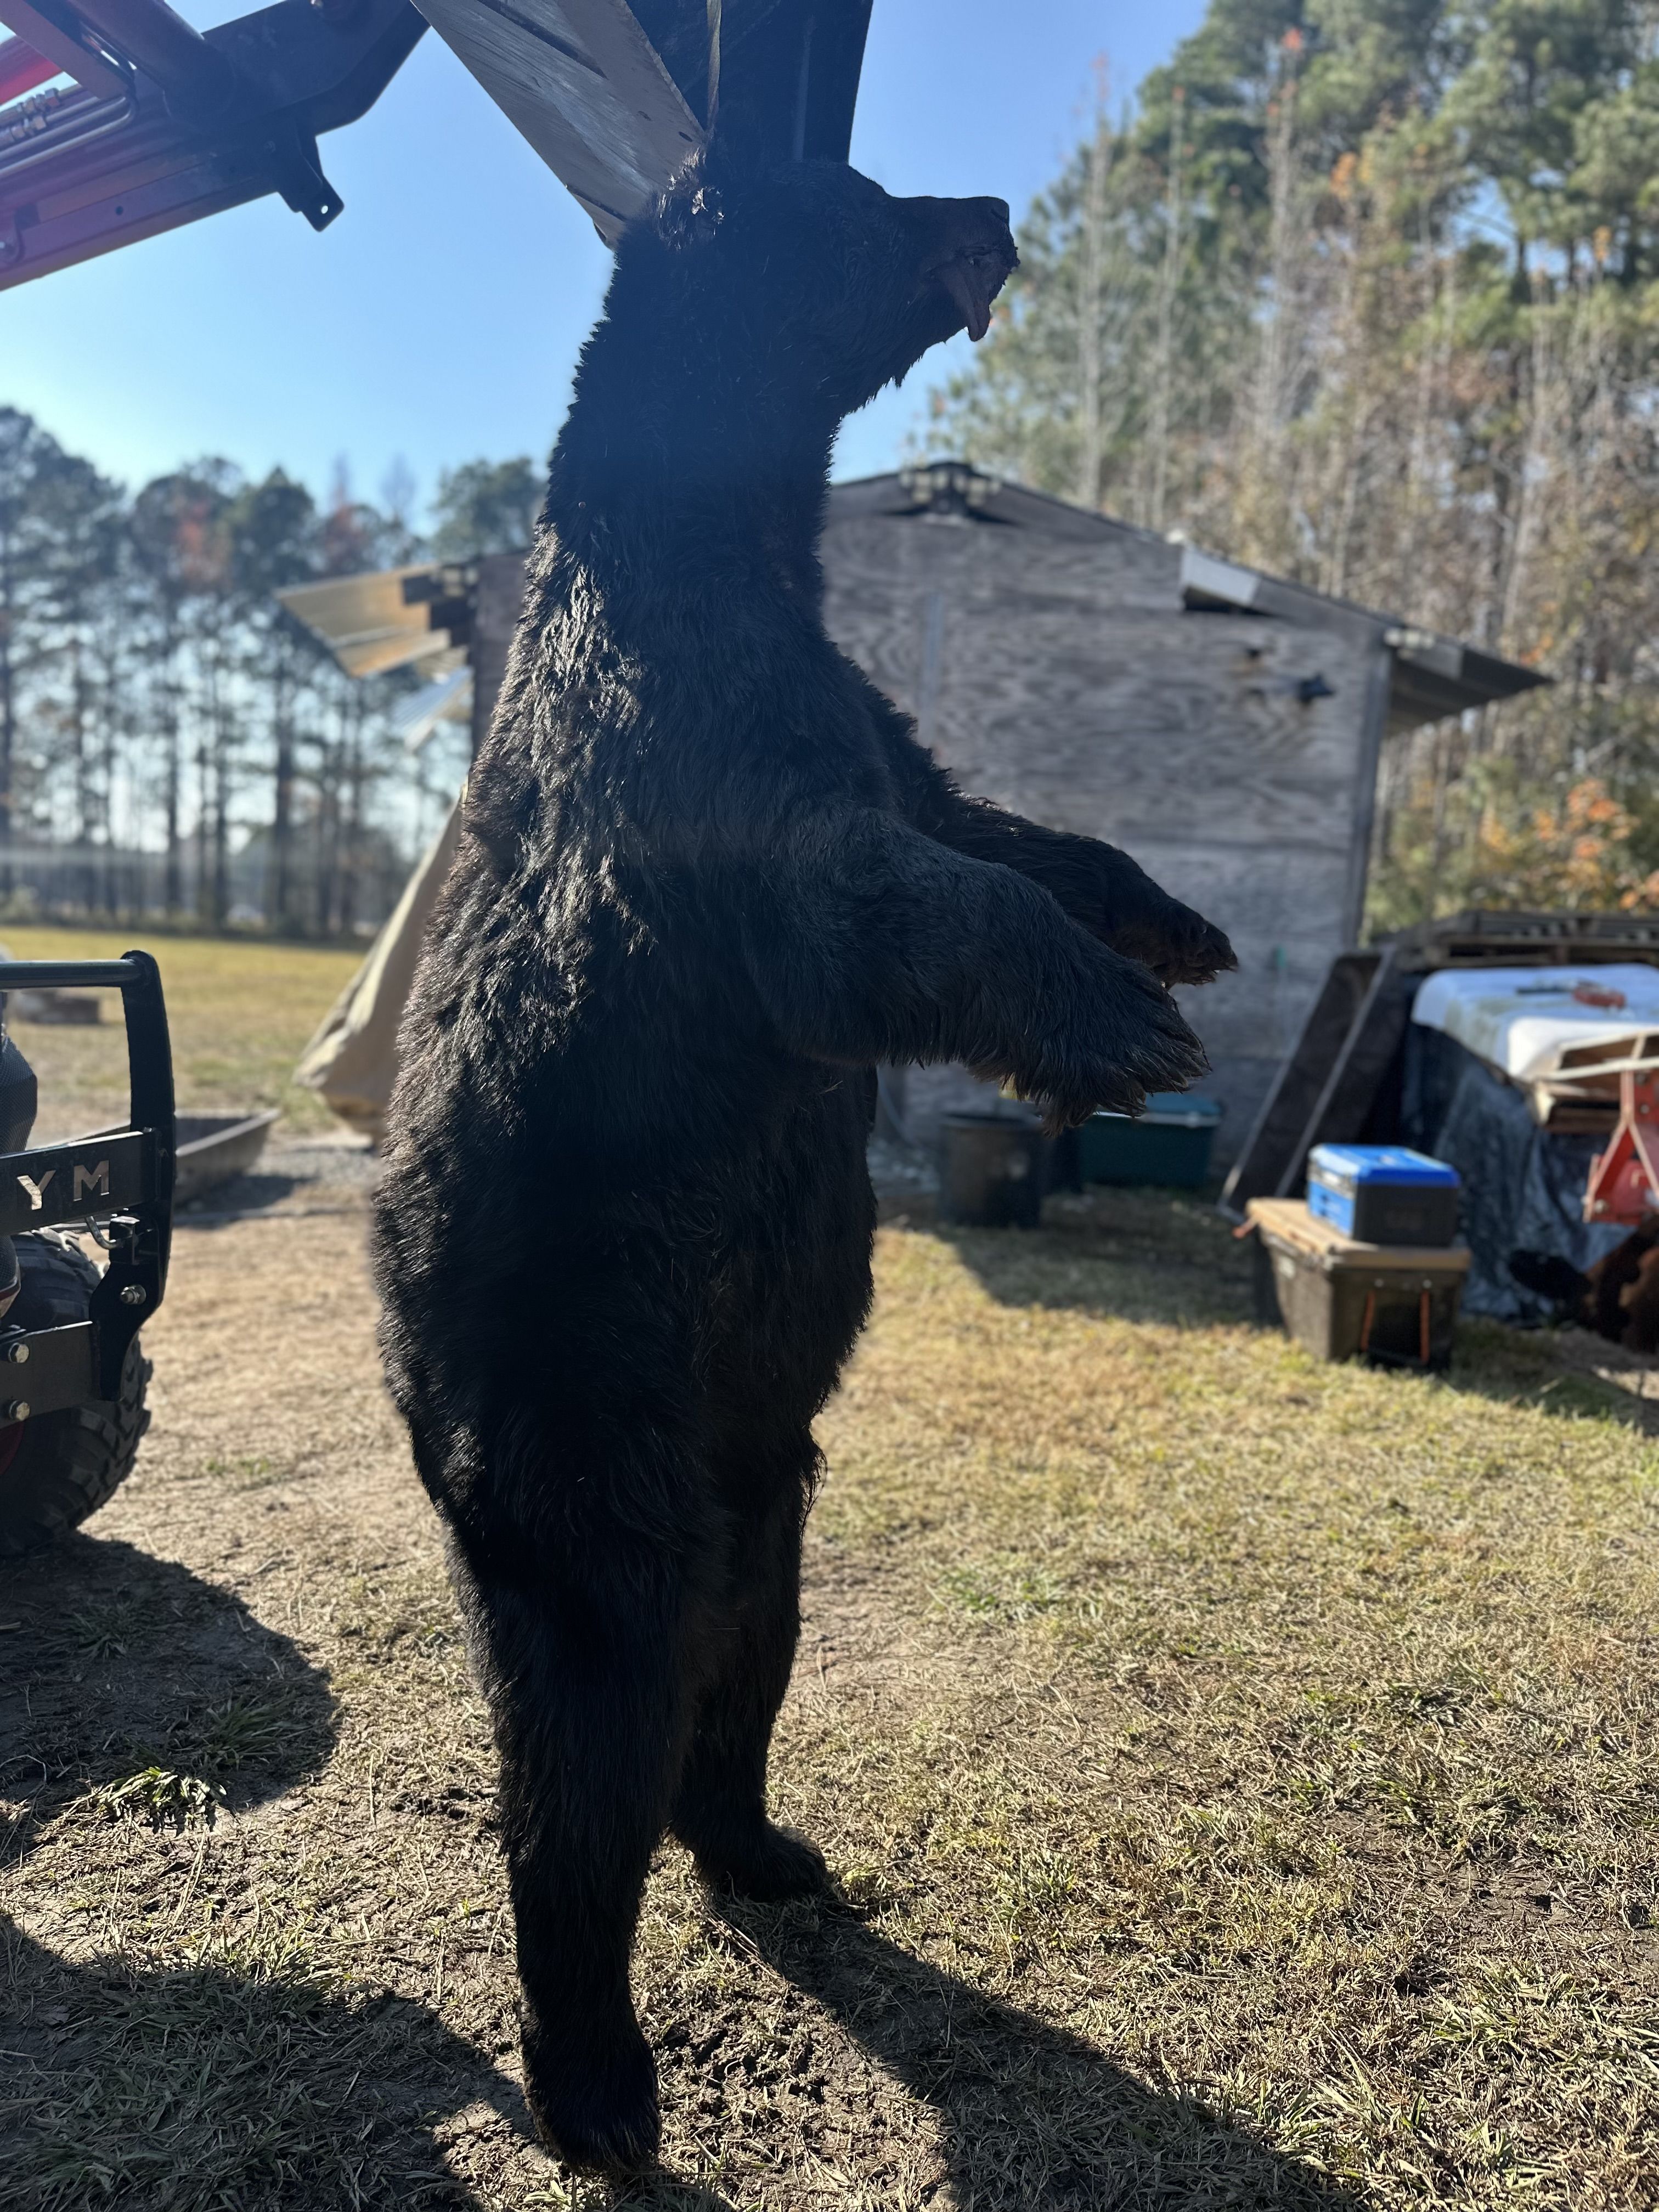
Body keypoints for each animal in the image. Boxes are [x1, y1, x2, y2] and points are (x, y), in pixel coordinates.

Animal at [372, 139, 1235, 2175]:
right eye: (863, 194)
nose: (992, 210)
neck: (734, 551)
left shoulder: (866, 718)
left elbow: (991, 821)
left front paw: (1162, 923)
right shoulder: (698, 765)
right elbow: (881, 900)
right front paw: (1116, 1017)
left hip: (760, 1493)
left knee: (736, 1671)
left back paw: (763, 1844)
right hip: (582, 1433)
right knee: (582, 1753)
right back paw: (597, 2079)